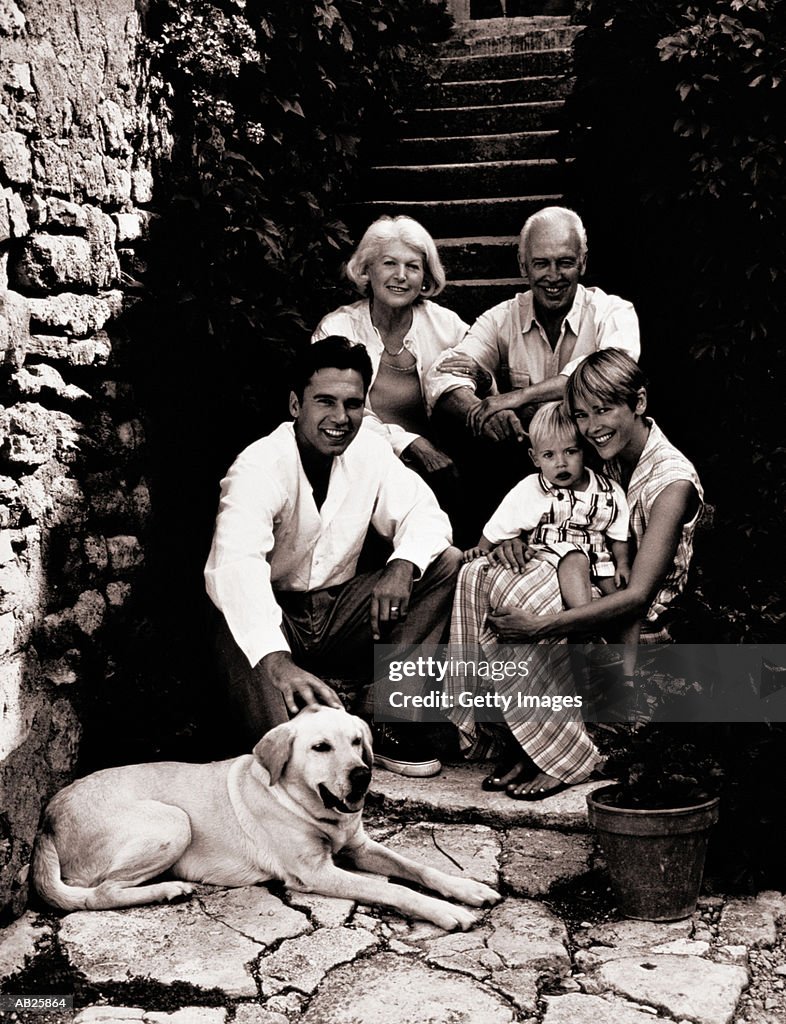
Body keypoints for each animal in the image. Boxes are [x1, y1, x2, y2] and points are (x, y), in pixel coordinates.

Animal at [33, 708, 499, 933]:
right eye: (320, 747)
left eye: (357, 742)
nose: (363, 775)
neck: (305, 806)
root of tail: (47, 817)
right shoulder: (315, 873)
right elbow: (394, 890)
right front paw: (444, 912)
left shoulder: (360, 846)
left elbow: (418, 868)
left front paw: (467, 888)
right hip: (173, 821)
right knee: (101, 893)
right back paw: (168, 890)